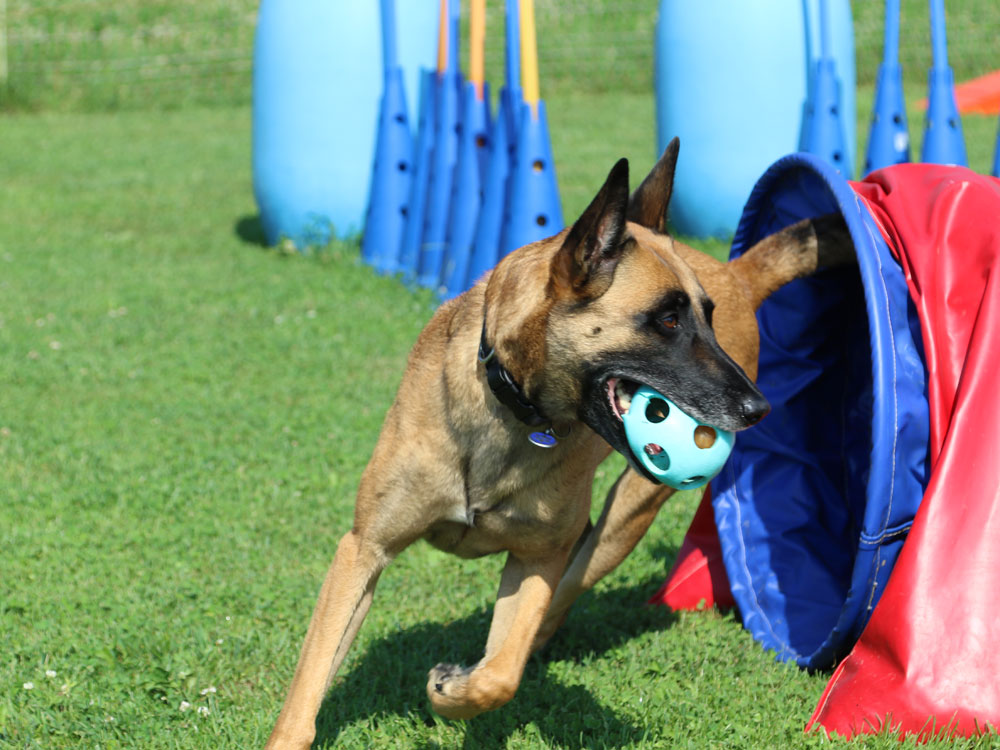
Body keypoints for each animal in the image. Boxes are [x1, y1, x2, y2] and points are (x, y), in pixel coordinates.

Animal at [266, 142, 852, 750]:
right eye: (667, 319)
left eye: (706, 319)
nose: (758, 409)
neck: (512, 408)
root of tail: (736, 273)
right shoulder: (363, 549)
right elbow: (310, 682)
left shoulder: (536, 560)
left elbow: (500, 674)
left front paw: (451, 689)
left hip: (621, 521)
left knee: (552, 609)